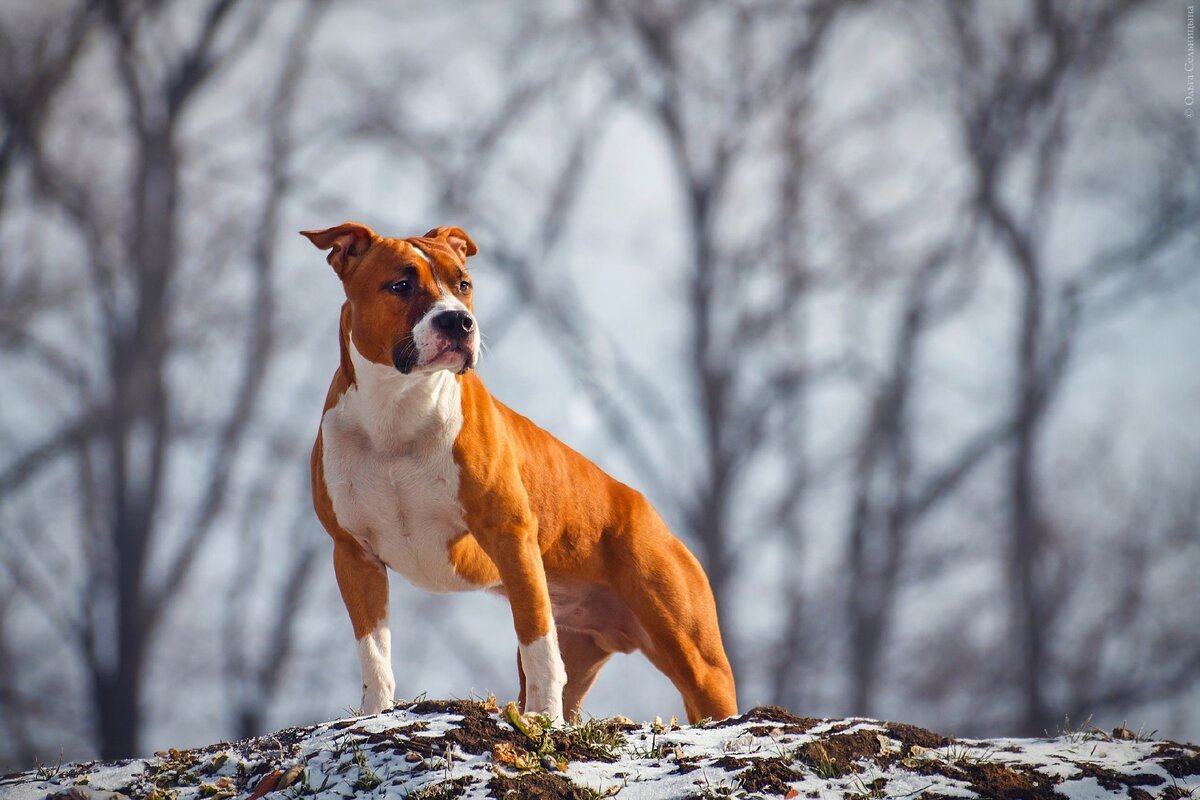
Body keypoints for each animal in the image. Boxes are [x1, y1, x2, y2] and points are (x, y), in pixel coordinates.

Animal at [304, 224, 734, 724]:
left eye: (463, 284)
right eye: (401, 285)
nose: (458, 322)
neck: (398, 411)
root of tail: (653, 517)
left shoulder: (510, 538)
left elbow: (538, 647)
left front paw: (541, 718)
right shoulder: (354, 555)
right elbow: (374, 652)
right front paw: (374, 713)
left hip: (696, 658)